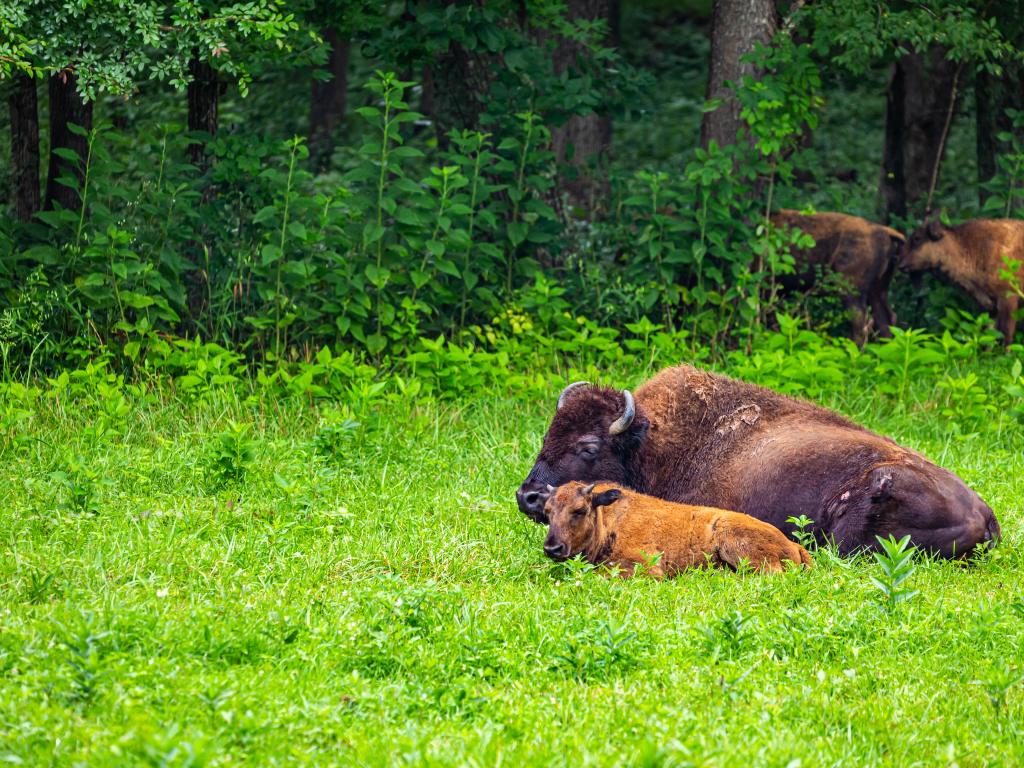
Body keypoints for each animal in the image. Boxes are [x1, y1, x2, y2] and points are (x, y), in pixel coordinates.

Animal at [540, 481, 811, 577]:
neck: (607, 521)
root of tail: (793, 544)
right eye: (547, 511)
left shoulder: (644, 567)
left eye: (579, 510)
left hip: (734, 542)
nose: (552, 548)